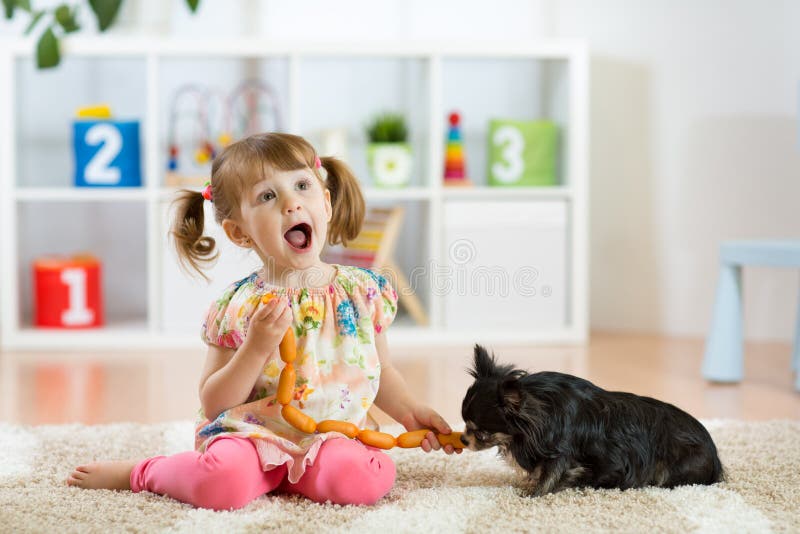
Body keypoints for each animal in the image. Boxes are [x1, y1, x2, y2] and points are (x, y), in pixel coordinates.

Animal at [460, 348, 720, 498]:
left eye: (481, 433)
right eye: (464, 424)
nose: (463, 438)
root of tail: (716, 458)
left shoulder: (562, 456)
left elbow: (550, 477)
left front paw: (532, 495)